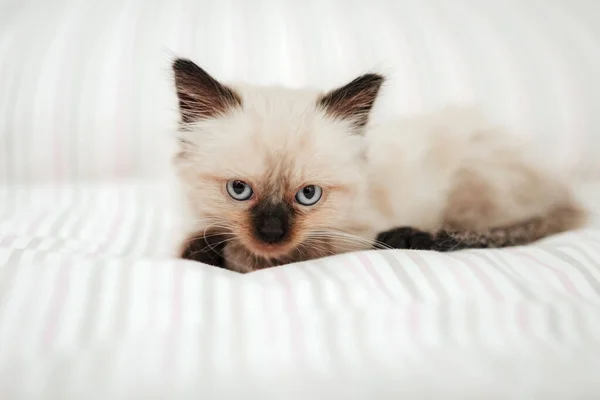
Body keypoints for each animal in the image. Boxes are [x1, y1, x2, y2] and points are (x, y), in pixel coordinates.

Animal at [171, 57, 588, 274]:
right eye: (239, 190)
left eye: (309, 195)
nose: (271, 234)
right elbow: (195, 243)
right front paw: (211, 251)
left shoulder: (351, 235)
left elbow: (291, 251)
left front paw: (234, 256)